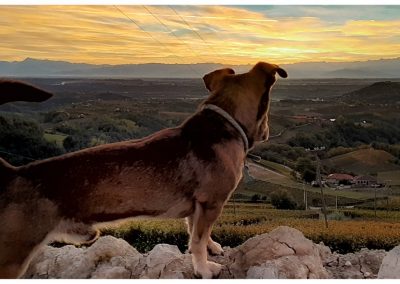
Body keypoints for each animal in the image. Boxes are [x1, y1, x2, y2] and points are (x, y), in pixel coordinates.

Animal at [0, 61, 288, 278]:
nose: (268, 132)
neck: (222, 124)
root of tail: (13, 174)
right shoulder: (211, 203)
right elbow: (197, 241)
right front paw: (204, 269)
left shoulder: (198, 207)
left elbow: (196, 234)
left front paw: (213, 247)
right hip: (13, 255)